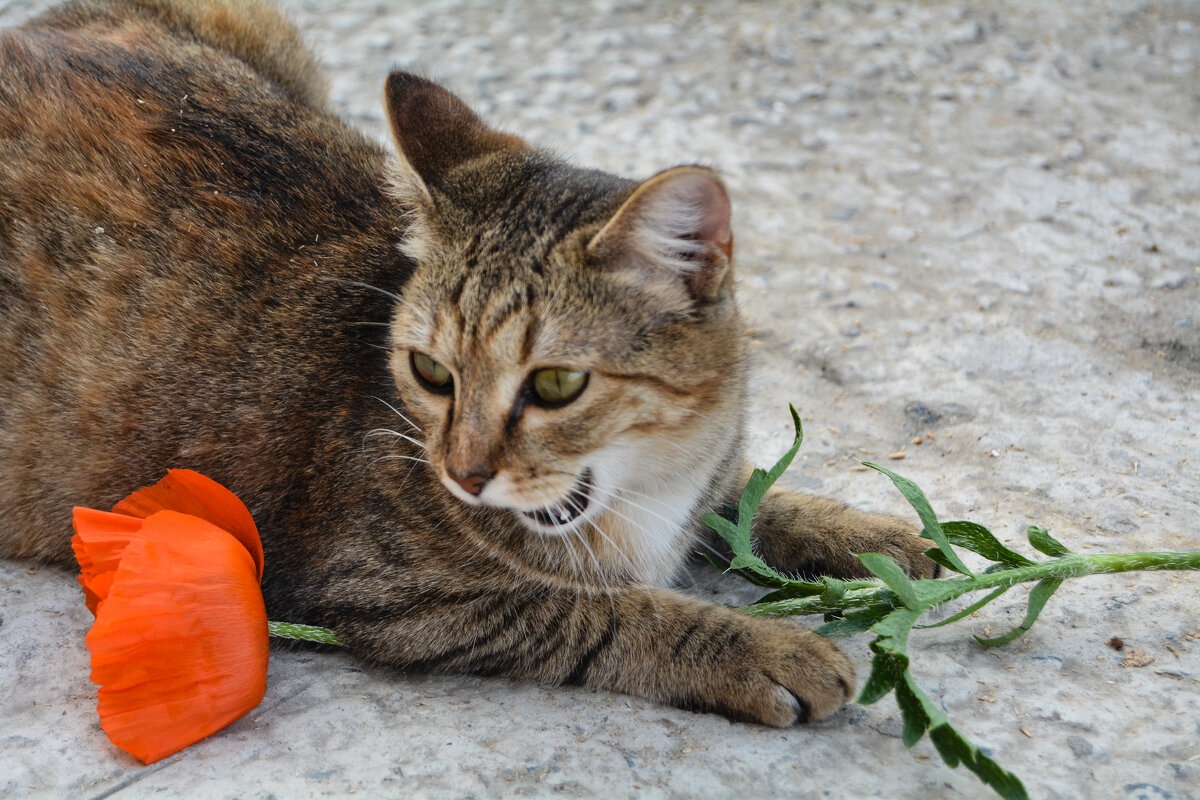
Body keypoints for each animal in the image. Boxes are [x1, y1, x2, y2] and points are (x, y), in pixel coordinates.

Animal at [0, 0, 936, 724]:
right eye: (431, 373)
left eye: (557, 384)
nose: (463, 472)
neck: (644, 482)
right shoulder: (390, 592)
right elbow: (598, 613)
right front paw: (762, 646)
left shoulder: (703, 474)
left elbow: (752, 495)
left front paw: (874, 535)